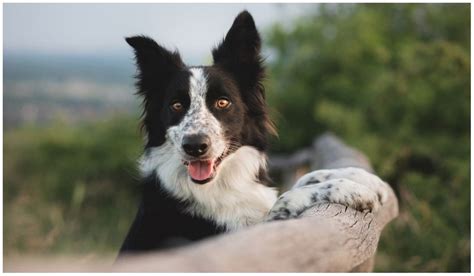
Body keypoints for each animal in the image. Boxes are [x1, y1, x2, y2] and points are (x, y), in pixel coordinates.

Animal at [119, 10, 388, 256]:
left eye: (223, 102)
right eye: (176, 106)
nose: (194, 146)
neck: (221, 182)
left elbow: (304, 178)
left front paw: (363, 178)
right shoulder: (245, 242)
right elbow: (287, 198)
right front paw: (352, 190)